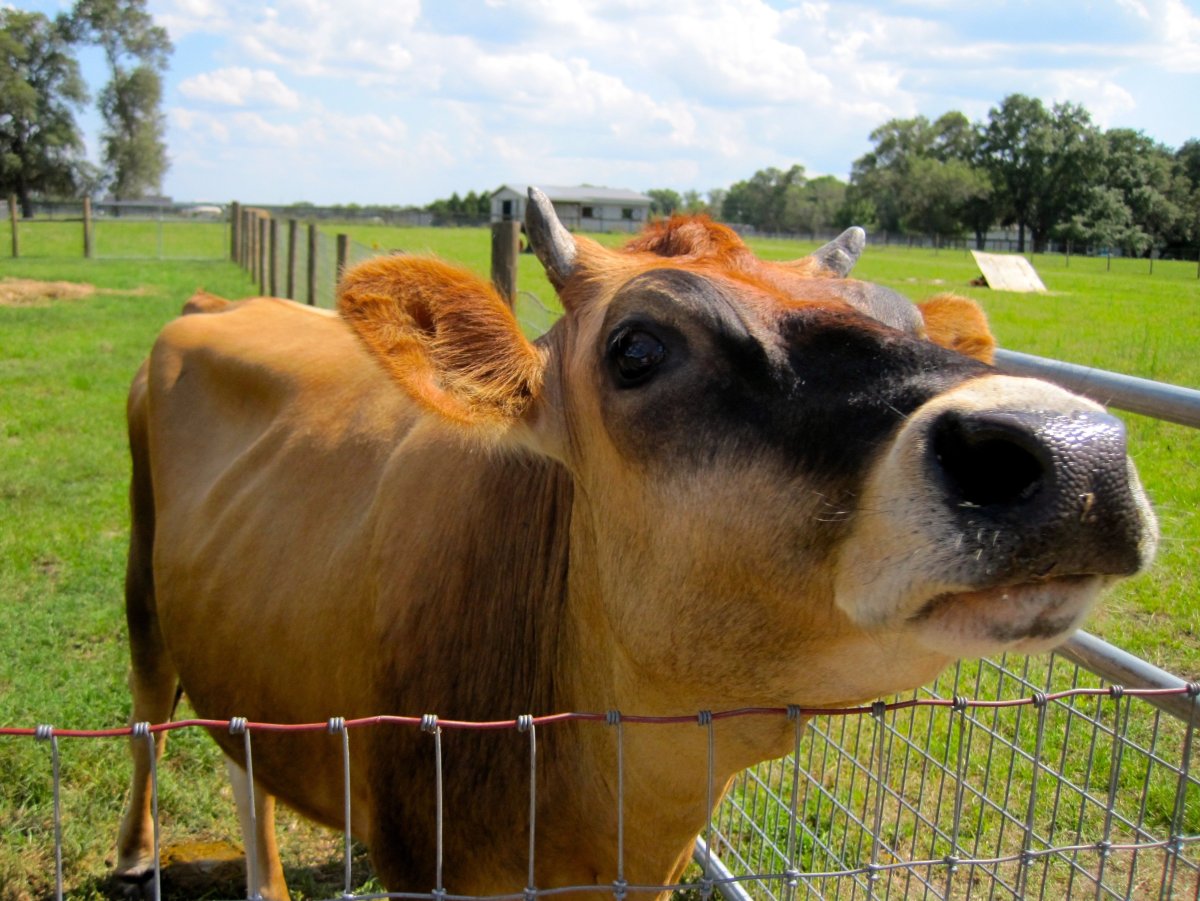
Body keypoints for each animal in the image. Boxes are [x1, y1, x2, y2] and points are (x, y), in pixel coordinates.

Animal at [115, 188, 1157, 900]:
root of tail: (221, 303)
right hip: (143, 578)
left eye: (900, 318)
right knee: (152, 704)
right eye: (638, 348)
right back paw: (136, 852)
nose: (1075, 449)